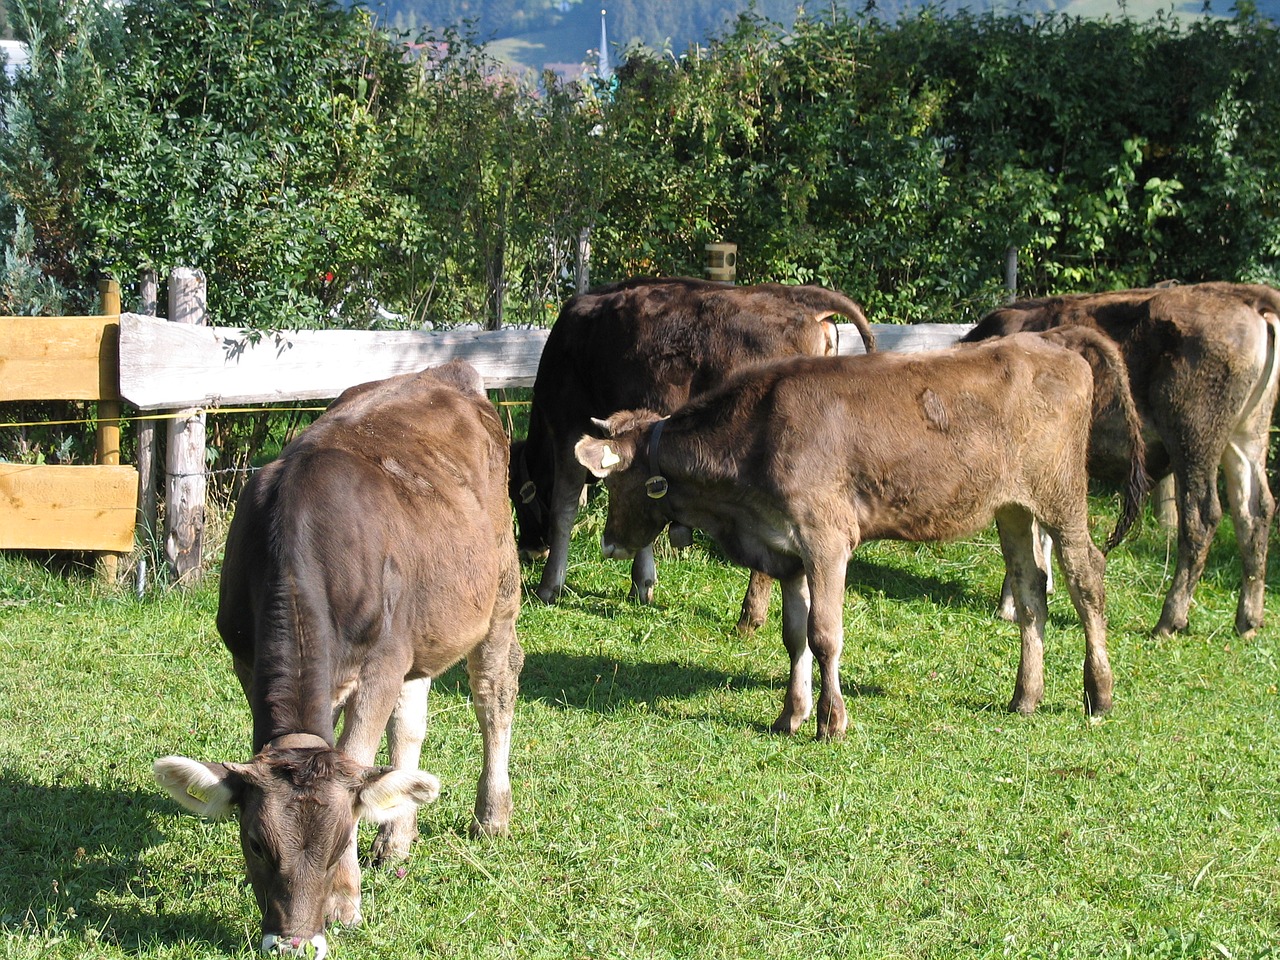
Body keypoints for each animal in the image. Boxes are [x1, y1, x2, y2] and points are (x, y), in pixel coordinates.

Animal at [152, 363, 522, 960]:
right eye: (255, 843)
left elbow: (355, 756)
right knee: (410, 726)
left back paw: (491, 816)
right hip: (415, 631)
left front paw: (346, 898)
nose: (293, 943)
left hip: (500, 589)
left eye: (342, 836)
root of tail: (449, 371)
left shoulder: (380, 662)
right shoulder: (247, 658)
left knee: (495, 692)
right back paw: (396, 839)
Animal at [514, 273, 875, 624]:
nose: (528, 551)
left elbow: (563, 509)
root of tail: (801, 300)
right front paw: (642, 585)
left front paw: (549, 586)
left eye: (516, 497)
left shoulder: (568, 425)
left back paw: (749, 616)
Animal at [576, 335, 1146, 742]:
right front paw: (791, 714)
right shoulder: (786, 549)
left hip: (1060, 495)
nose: (608, 543)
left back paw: (1099, 693)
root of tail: (1055, 345)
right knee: (1031, 590)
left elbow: (825, 634)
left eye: (614, 482)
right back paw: (1025, 696)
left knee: (1086, 576)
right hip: (1012, 507)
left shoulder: (826, 539)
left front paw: (832, 722)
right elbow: (794, 636)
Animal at [962, 280, 1280, 640]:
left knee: (1202, 517)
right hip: (1247, 435)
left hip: (1193, 436)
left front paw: (1010, 604)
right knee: (1254, 511)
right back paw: (1248, 620)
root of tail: (1244, 295)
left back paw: (1170, 619)